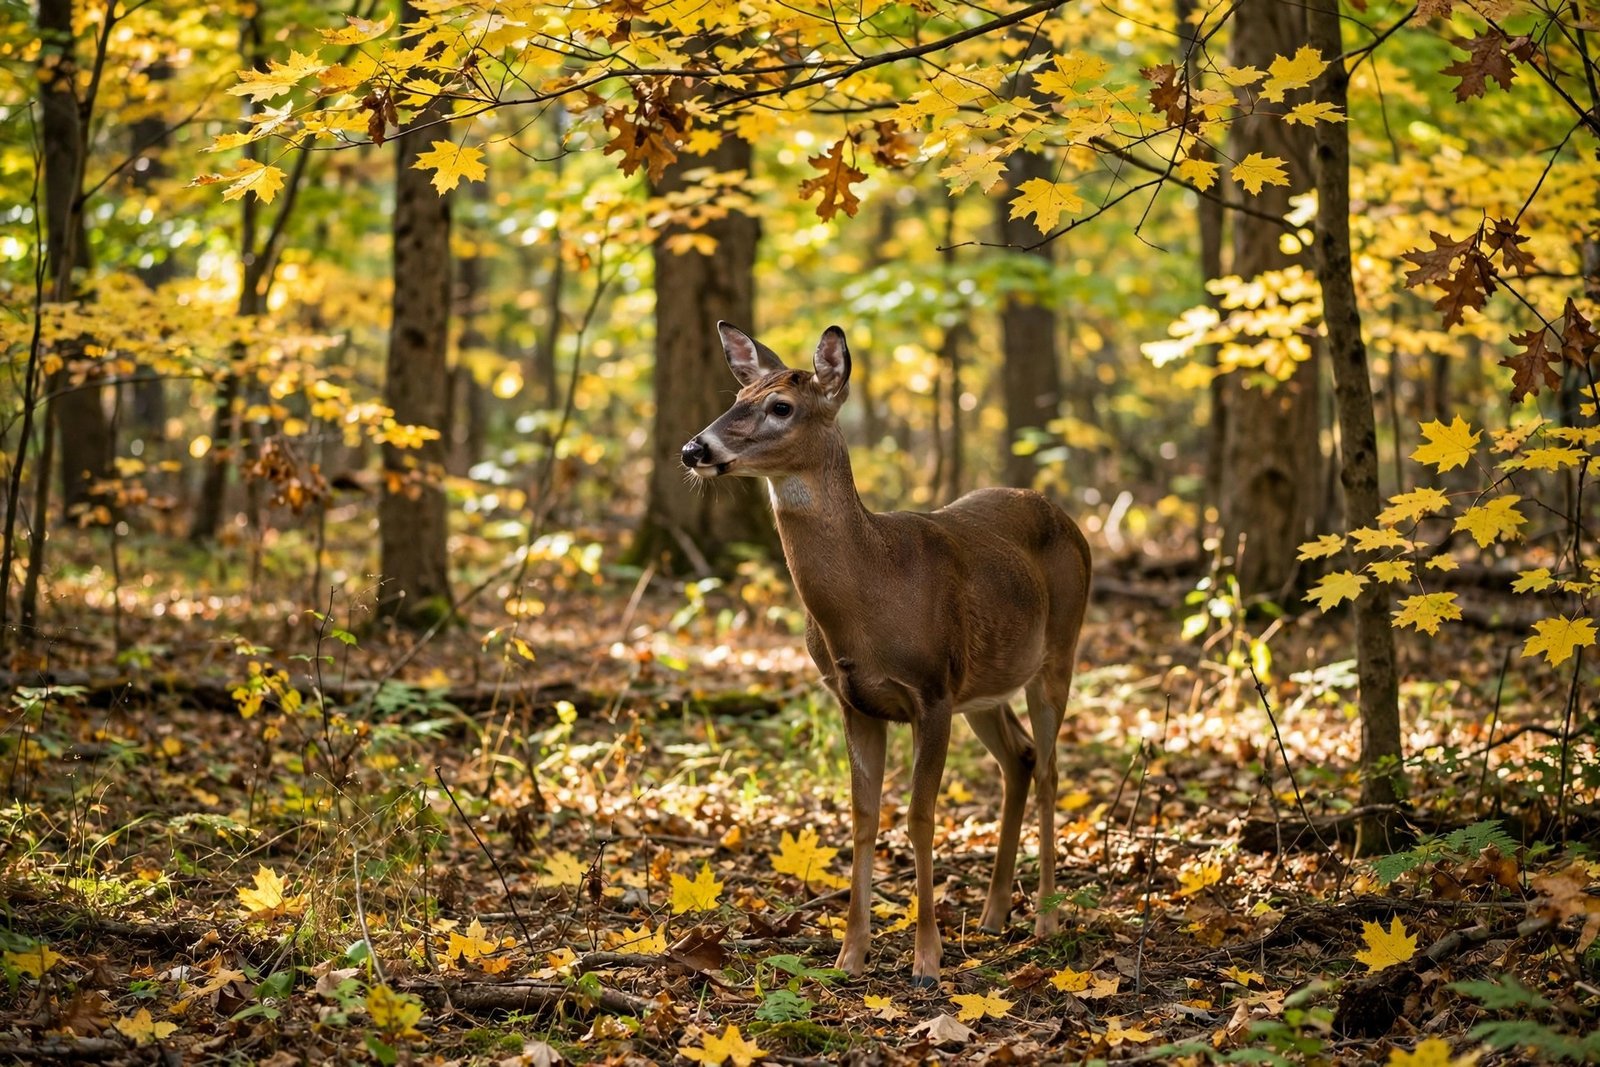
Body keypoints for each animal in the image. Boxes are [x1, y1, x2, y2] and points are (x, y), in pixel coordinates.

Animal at [681, 323, 1092, 986]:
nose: (695, 449)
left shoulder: (931, 693)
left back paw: (1046, 920)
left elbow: (921, 817)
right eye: (738, 397)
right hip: (984, 685)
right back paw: (992, 915)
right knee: (1022, 757)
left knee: (1052, 767)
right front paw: (850, 955)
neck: (871, 592)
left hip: (1058, 651)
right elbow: (863, 817)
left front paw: (926, 959)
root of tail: (1068, 519)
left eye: (780, 406)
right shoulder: (856, 701)